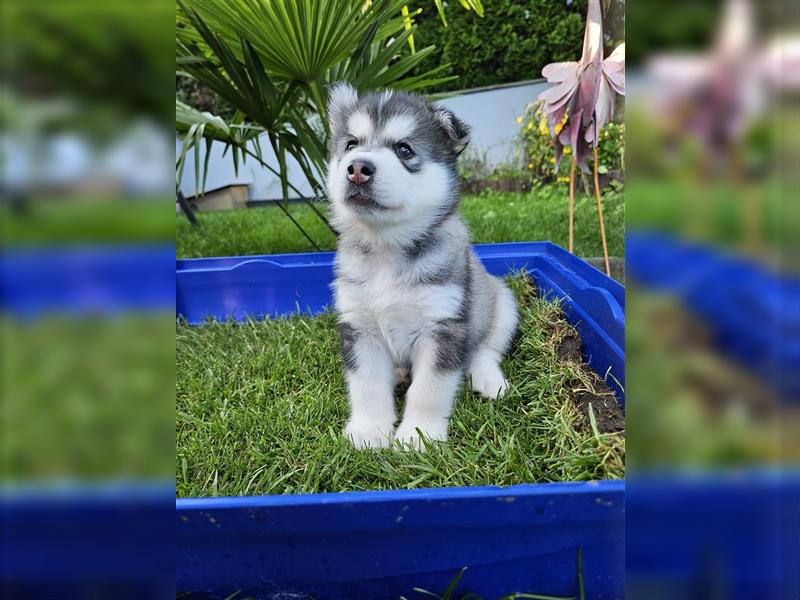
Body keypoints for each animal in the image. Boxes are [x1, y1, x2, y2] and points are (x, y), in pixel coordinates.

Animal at [324, 84, 520, 450]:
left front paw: (419, 437)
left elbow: (429, 388)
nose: (357, 168)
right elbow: (367, 384)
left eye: (404, 149)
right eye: (351, 145)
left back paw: (488, 379)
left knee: (485, 349)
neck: (387, 249)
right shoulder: (359, 326)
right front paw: (369, 431)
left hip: (502, 304)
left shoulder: (442, 326)